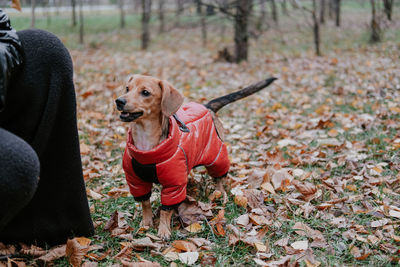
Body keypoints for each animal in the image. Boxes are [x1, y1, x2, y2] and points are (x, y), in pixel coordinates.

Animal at [115, 74, 276, 240]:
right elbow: (145, 203)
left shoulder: (173, 187)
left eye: (145, 92)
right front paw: (146, 223)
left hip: (217, 157)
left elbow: (166, 210)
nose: (119, 101)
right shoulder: (136, 182)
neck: (147, 149)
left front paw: (164, 229)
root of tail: (207, 106)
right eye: (127, 88)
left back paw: (220, 194)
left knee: (219, 179)